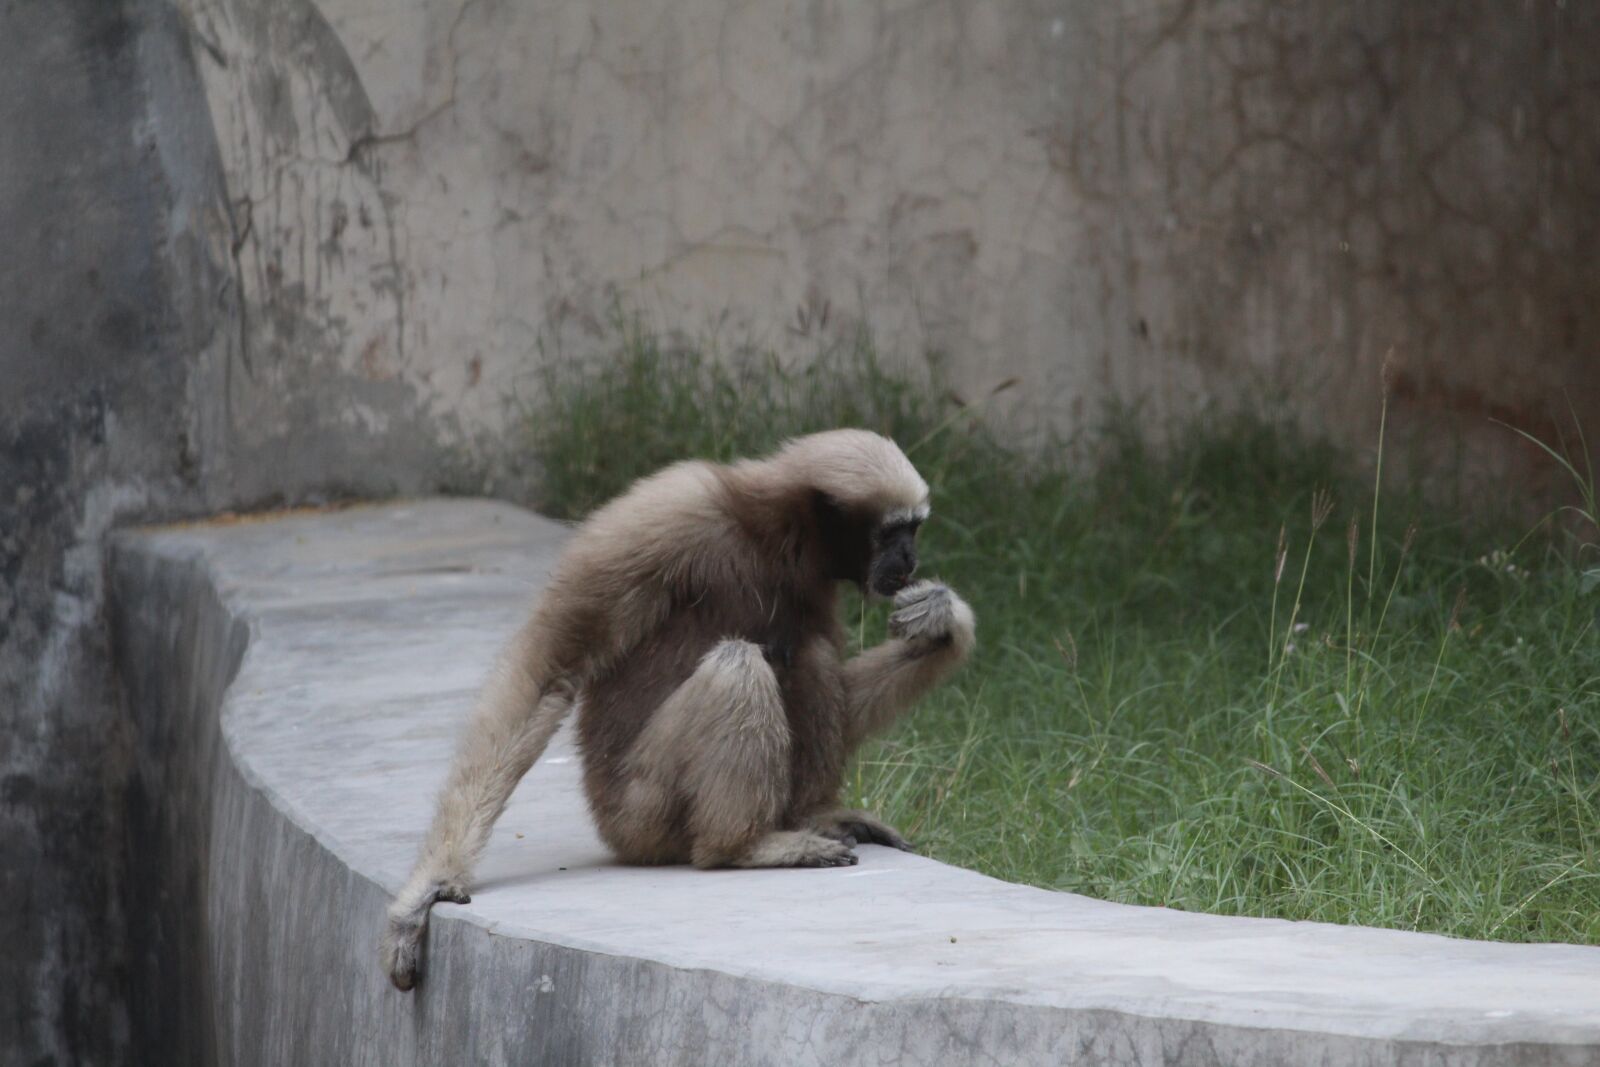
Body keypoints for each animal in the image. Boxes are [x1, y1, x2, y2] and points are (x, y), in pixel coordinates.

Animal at [380, 429, 975, 991]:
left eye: (913, 531)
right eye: (896, 532)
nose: (910, 559)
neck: (770, 532)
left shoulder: (812, 581)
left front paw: (943, 626)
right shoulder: (664, 515)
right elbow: (547, 672)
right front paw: (427, 892)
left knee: (810, 650)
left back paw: (812, 813)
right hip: (639, 811)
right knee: (738, 664)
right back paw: (744, 846)